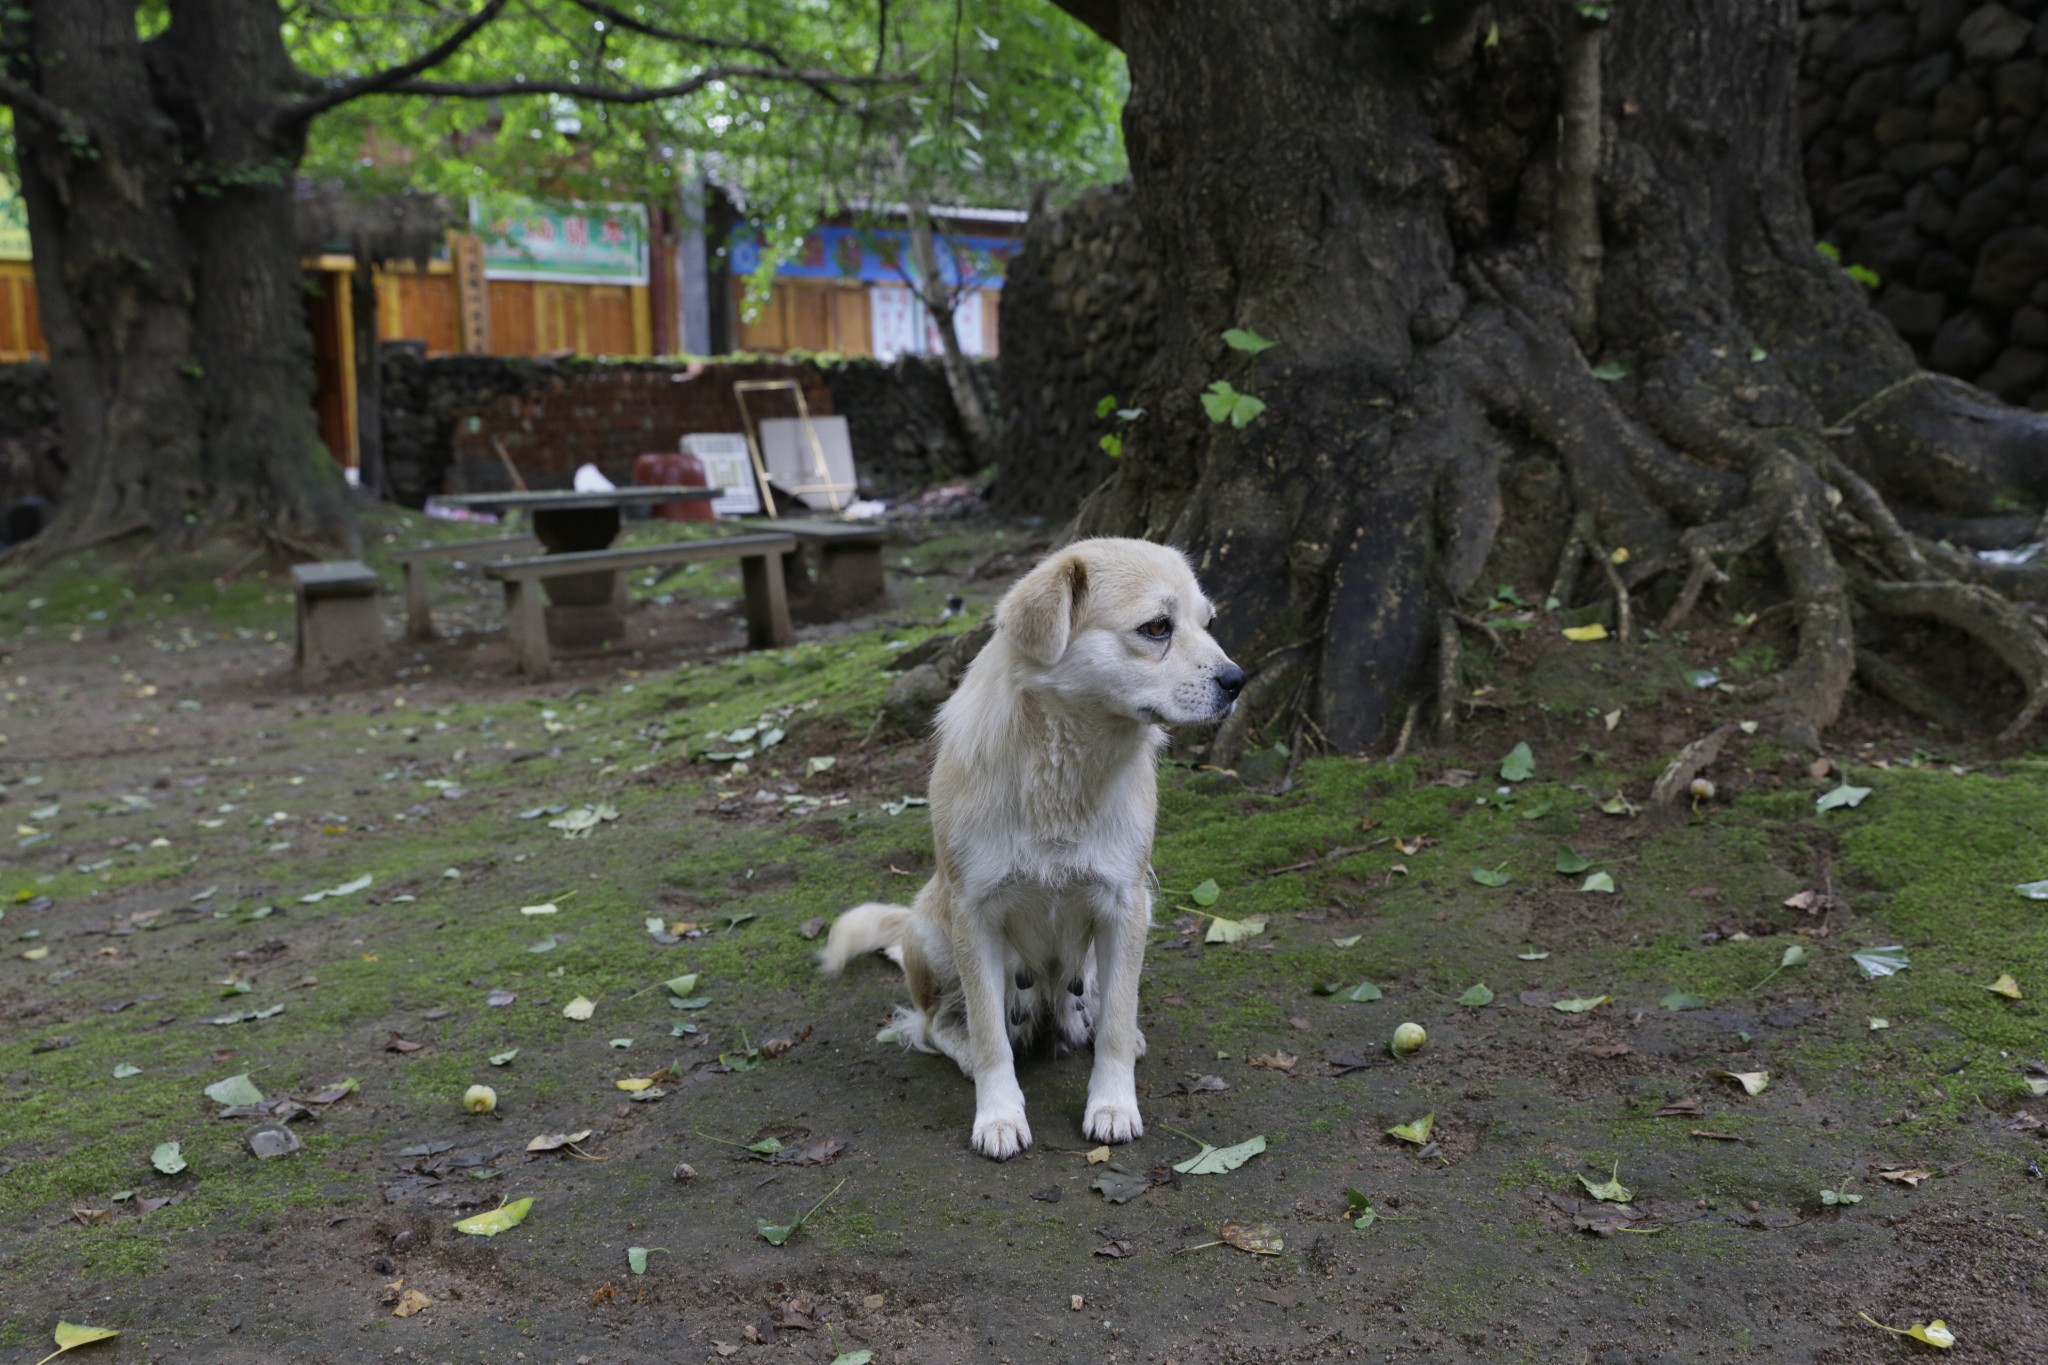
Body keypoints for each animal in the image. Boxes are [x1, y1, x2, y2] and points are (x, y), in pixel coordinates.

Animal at [819, 540, 1236, 1162]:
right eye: (1157, 628)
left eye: (1208, 624)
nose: (1239, 680)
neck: (1065, 776)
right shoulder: (974, 915)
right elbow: (991, 1036)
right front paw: (998, 1115)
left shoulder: (1126, 904)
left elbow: (1116, 1024)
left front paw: (1112, 1105)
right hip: (932, 934)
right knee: (934, 1024)